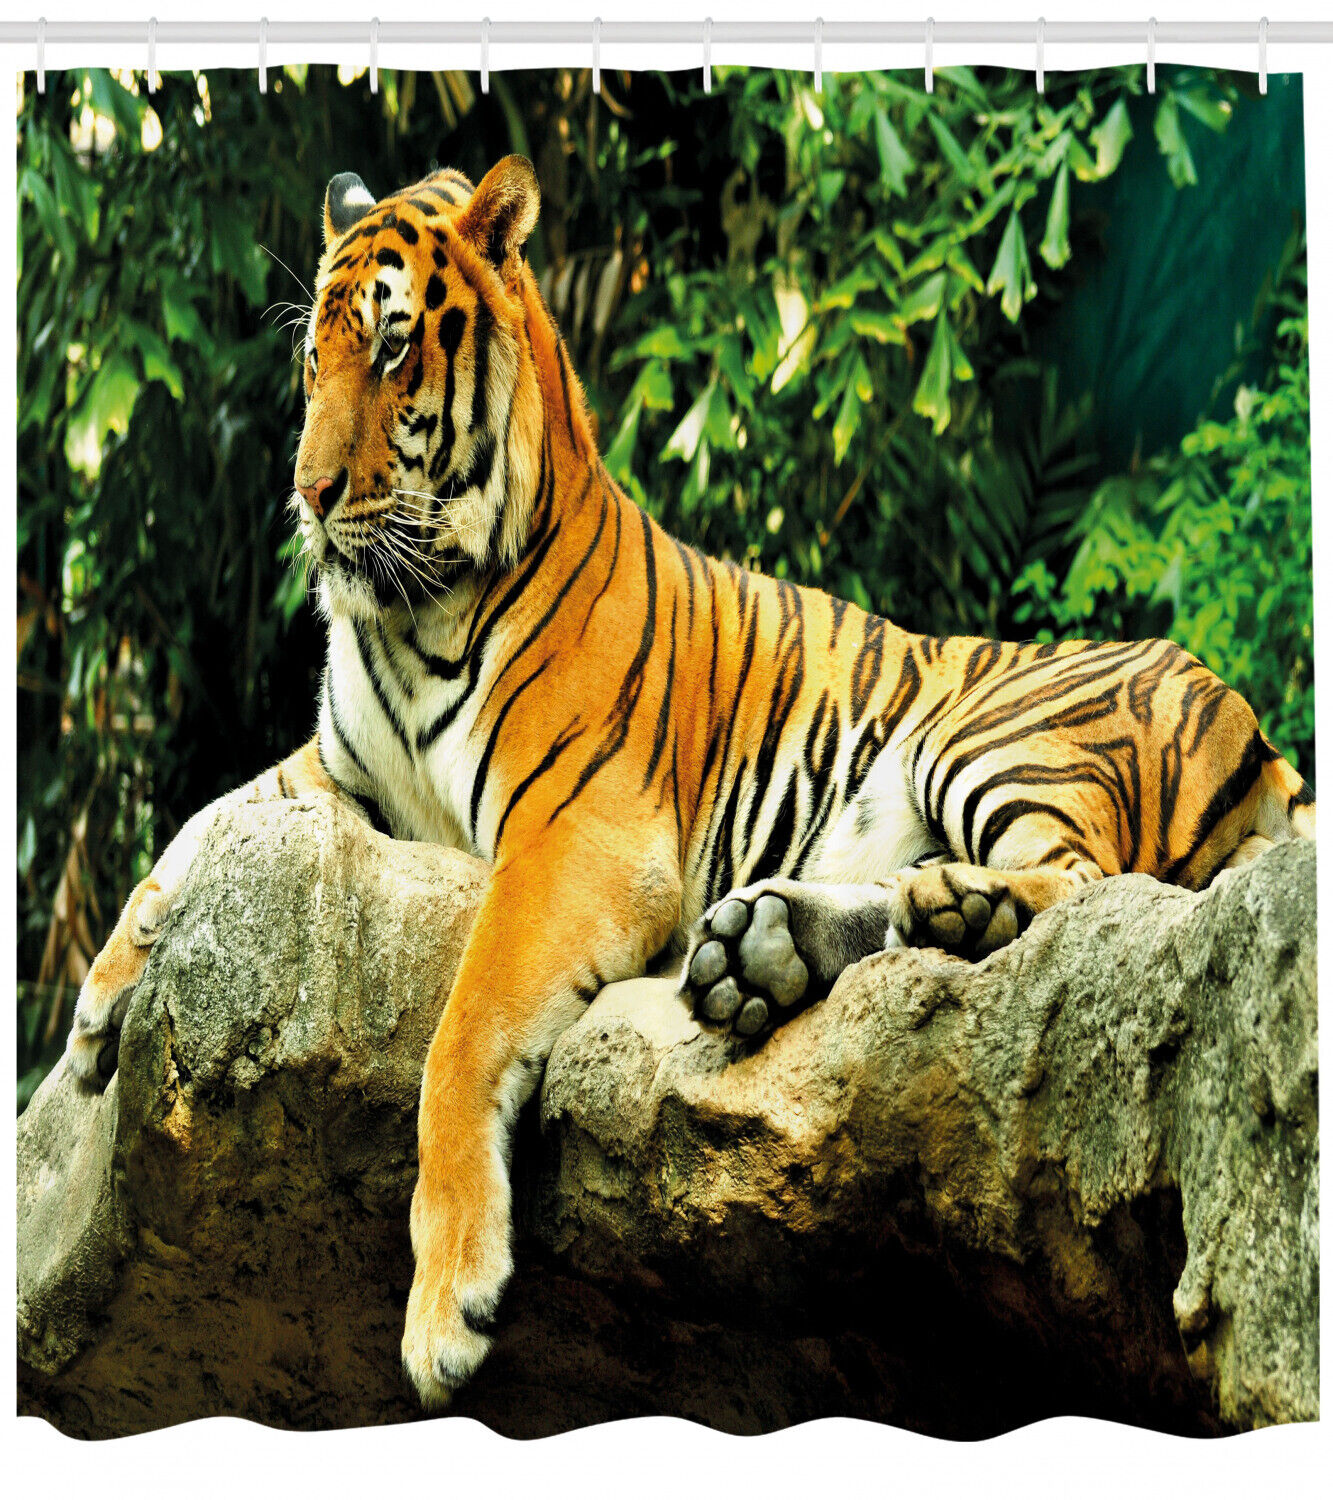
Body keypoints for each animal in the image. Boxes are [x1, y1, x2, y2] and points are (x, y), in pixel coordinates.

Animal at [66, 154, 1316, 1410]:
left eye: (391, 346)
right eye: (311, 358)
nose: (309, 494)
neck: (409, 615)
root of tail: (1244, 712)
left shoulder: (578, 836)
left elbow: (458, 1034)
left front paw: (445, 1307)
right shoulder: (333, 769)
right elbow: (194, 830)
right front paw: (95, 1011)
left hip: (991, 740)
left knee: (1084, 881)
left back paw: (947, 912)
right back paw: (772, 949)